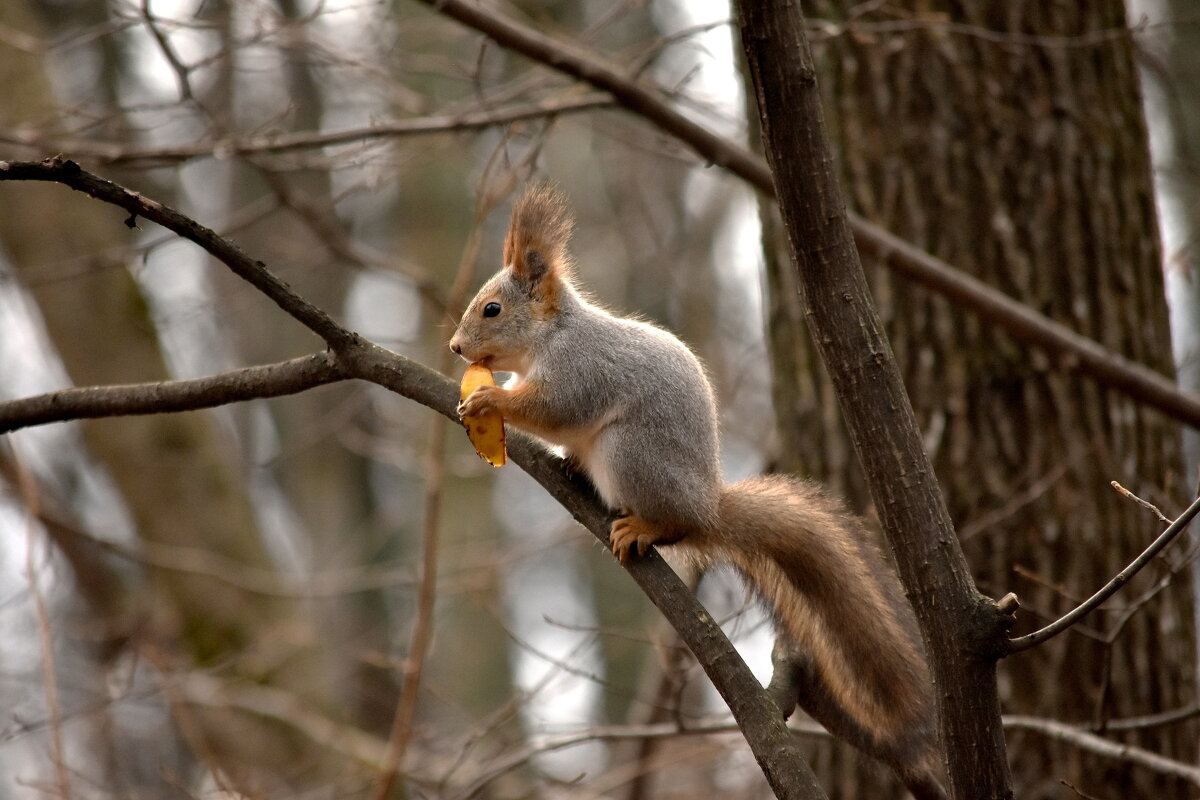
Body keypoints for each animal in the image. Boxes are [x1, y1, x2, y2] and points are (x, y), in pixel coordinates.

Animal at [451, 183, 945, 800]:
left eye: (492, 309)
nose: (454, 347)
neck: (553, 335)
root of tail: (708, 505)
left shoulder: (581, 372)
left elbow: (554, 409)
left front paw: (490, 401)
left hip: (632, 455)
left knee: (674, 524)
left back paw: (644, 525)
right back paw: (575, 472)